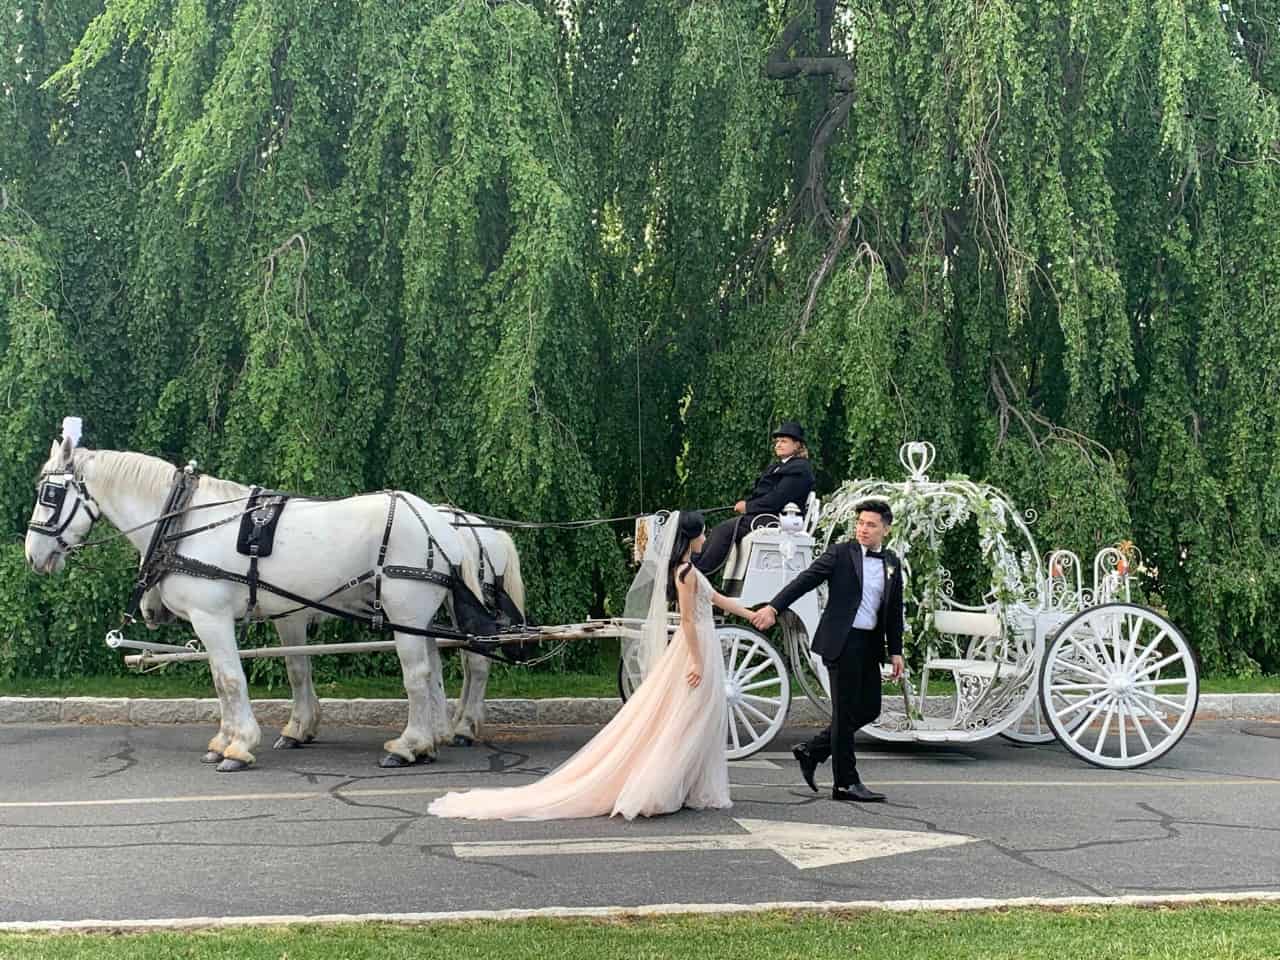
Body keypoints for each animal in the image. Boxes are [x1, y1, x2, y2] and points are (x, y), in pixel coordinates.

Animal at [24, 437, 483, 773]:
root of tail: (441, 523)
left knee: (419, 676)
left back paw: (408, 746)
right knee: (434, 670)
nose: (33, 555)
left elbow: (230, 680)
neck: (184, 521)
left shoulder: (212, 618)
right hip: (418, 617)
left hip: (405, 611)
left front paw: (239, 747)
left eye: (50, 493)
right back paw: (431, 741)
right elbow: (223, 679)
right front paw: (223, 741)